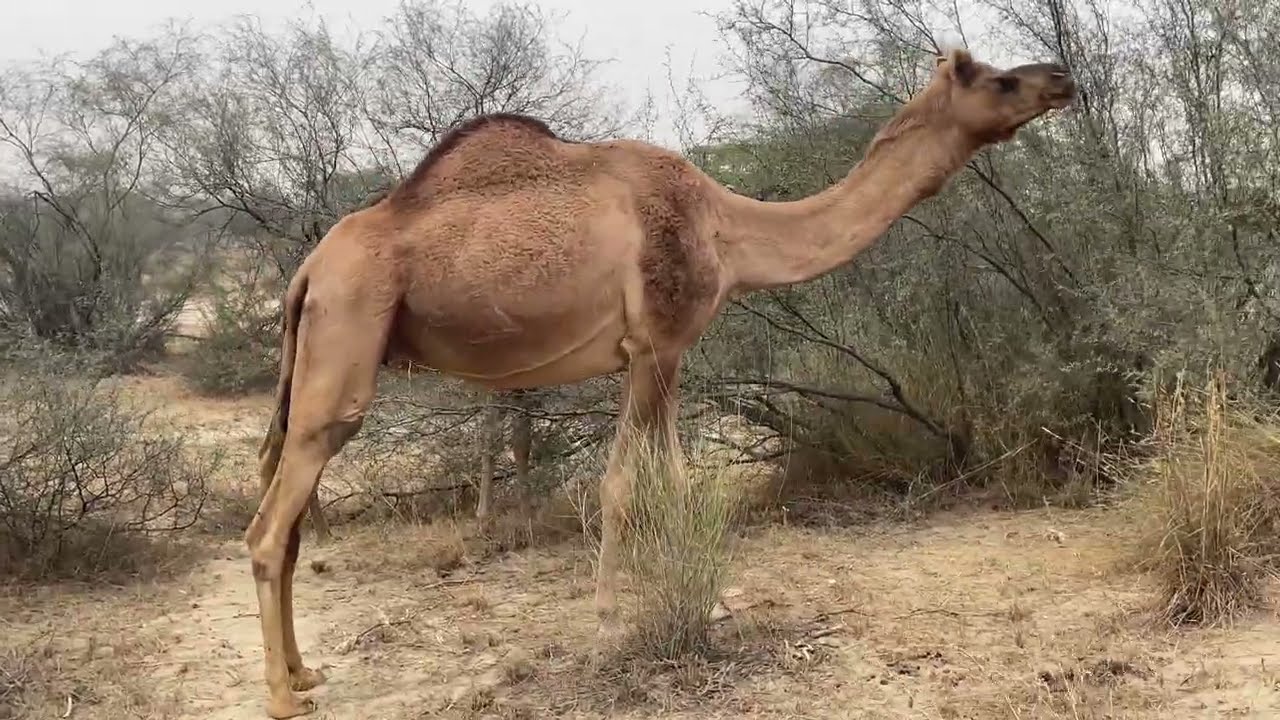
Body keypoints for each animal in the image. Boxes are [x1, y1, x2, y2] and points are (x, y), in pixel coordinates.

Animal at [245, 48, 1075, 718]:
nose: (1061, 78)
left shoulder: (662, 354)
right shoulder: (655, 344)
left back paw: (306, 672)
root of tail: (308, 268)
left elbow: (675, 480)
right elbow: (625, 487)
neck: (728, 229)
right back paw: (283, 695)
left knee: (285, 513)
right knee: (270, 526)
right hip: (347, 333)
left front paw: (712, 606)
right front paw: (611, 629)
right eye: (1000, 79)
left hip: (322, 340)